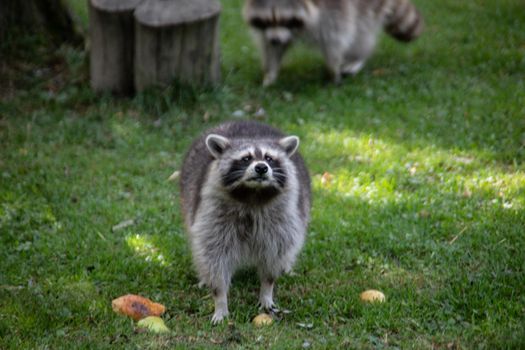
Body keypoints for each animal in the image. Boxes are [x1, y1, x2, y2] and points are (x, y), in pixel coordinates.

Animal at [180, 121, 312, 324]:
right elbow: (214, 255)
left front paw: (267, 290)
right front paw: (220, 299)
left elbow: (275, 253)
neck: (253, 194)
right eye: (246, 158)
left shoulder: (282, 218)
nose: (261, 167)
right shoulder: (213, 214)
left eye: (269, 158)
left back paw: (286, 266)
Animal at [244, 0, 424, 85]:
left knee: (360, 31)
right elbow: (271, 47)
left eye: (286, 20)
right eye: (266, 21)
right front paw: (270, 71)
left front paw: (333, 69)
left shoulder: (334, 9)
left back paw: (357, 58)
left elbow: (336, 38)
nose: (275, 39)